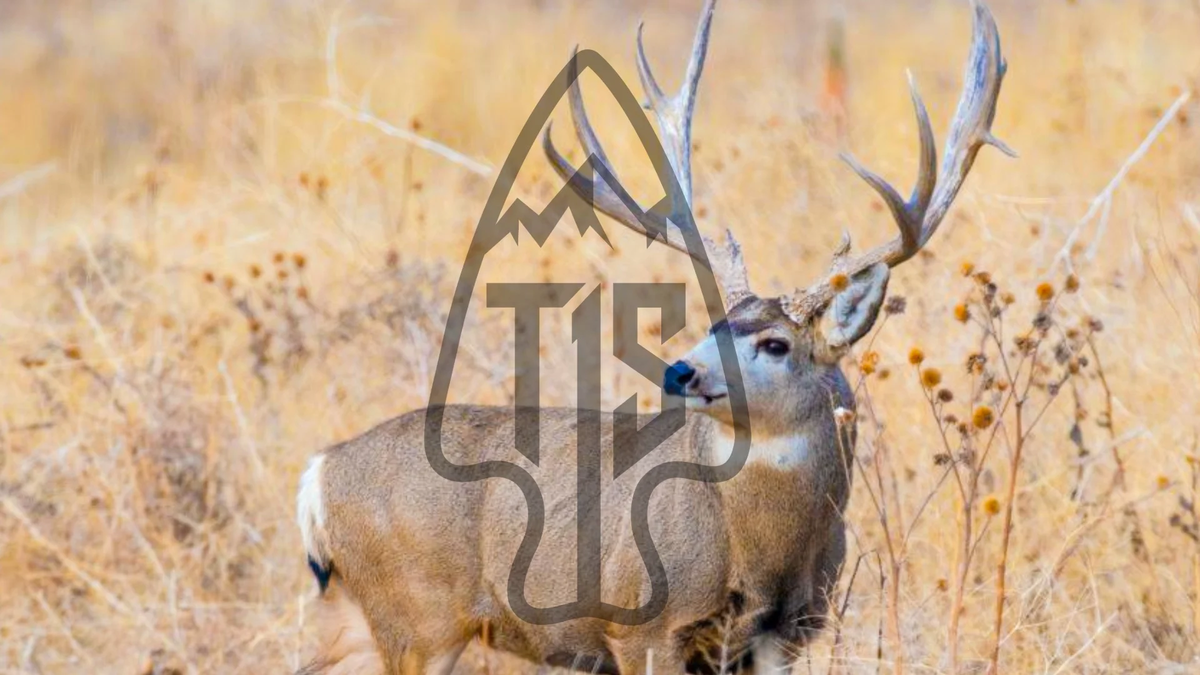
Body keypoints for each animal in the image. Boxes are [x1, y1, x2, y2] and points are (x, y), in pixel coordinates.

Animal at [295, 1, 1010, 673]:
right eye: (712, 325)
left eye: (775, 344)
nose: (679, 371)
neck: (762, 556)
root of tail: (318, 473)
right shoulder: (642, 625)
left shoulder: (789, 634)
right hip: (419, 618)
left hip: (352, 616)